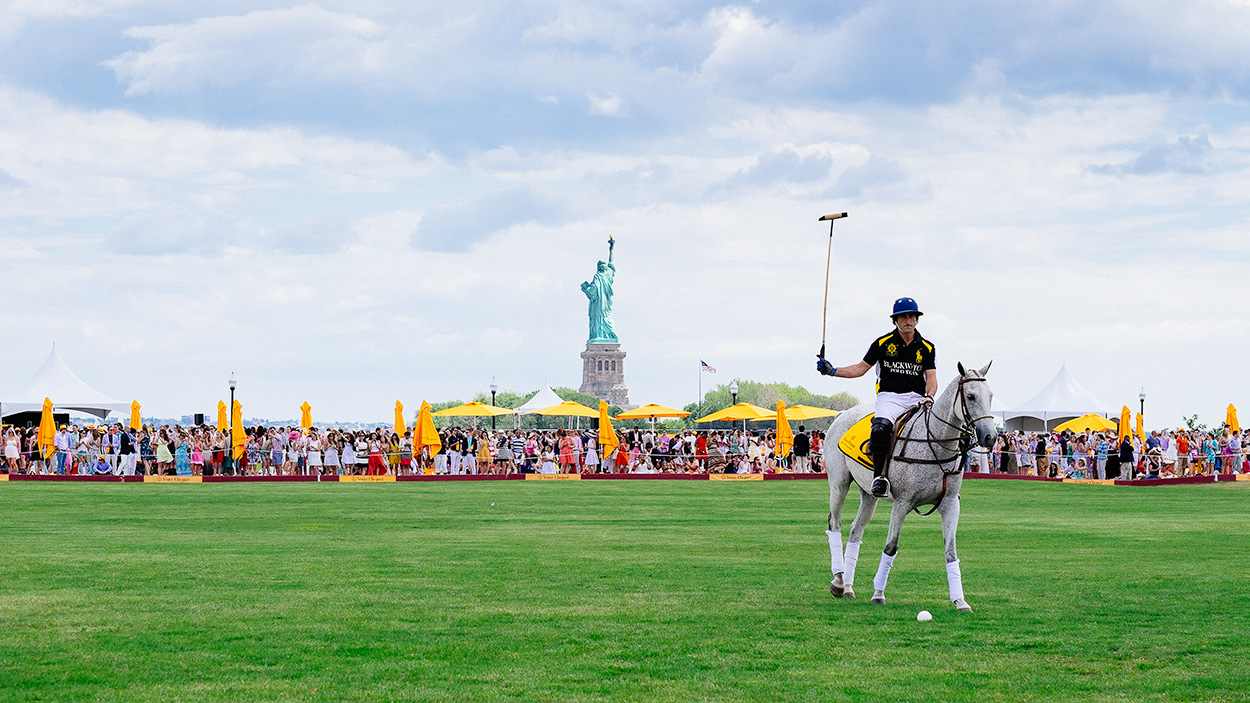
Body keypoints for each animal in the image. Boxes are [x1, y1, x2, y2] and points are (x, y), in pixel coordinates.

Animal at [820, 360, 995, 607]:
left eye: (990, 395)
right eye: (970, 396)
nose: (990, 437)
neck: (936, 444)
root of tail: (843, 413)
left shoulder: (951, 504)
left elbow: (951, 552)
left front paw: (961, 602)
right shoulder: (902, 503)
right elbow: (891, 546)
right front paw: (878, 594)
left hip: (869, 493)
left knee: (855, 530)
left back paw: (848, 588)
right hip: (839, 483)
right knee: (834, 524)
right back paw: (837, 581)